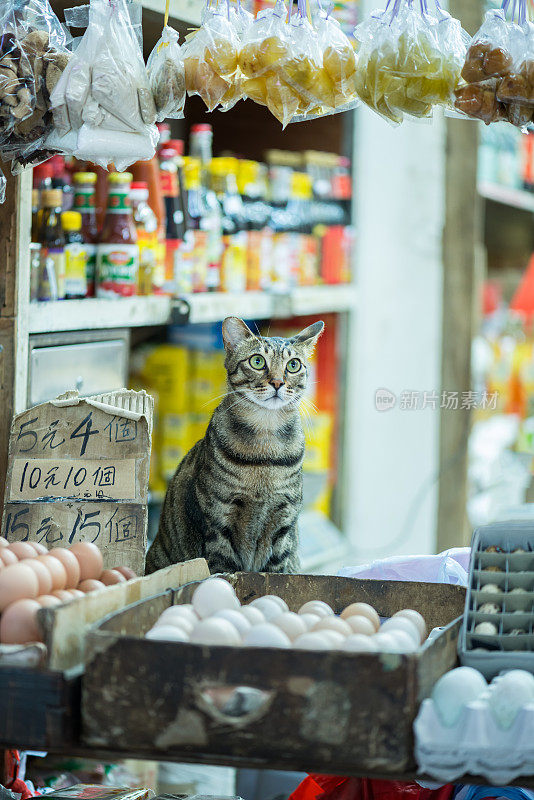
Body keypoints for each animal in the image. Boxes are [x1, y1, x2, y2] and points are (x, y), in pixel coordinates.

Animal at [144, 314, 324, 576]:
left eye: (293, 365)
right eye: (258, 361)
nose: (277, 382)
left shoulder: (283, 523)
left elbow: (276, 569)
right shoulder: (219, 519)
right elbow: (224, 568)